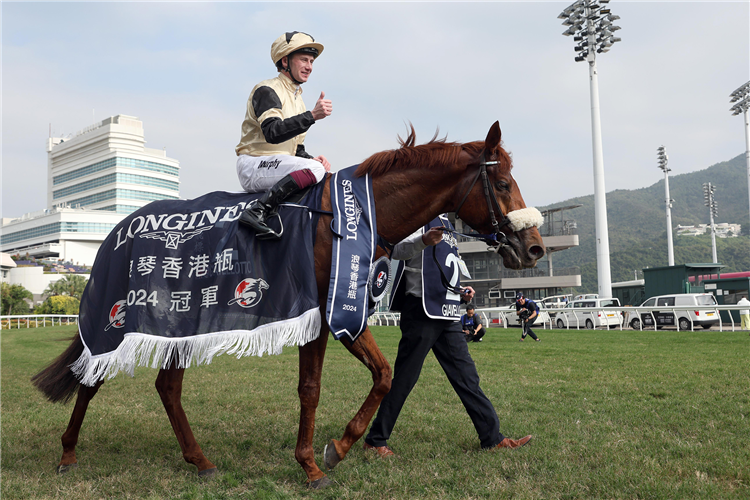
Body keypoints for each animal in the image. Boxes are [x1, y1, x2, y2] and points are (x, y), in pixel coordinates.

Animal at [32, 121, 548, 488]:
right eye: (503, 183)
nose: (535, 248)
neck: (352, 218)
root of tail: (113, 234)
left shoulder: (343, 309)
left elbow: (383, 376)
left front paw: (336, 448)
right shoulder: (323, 312)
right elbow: (312, 388)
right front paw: (316, 464)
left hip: (177, 321)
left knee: (167, 388)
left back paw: (200, 460)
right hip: (117, 320)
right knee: (90, 379)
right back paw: (67, 453)